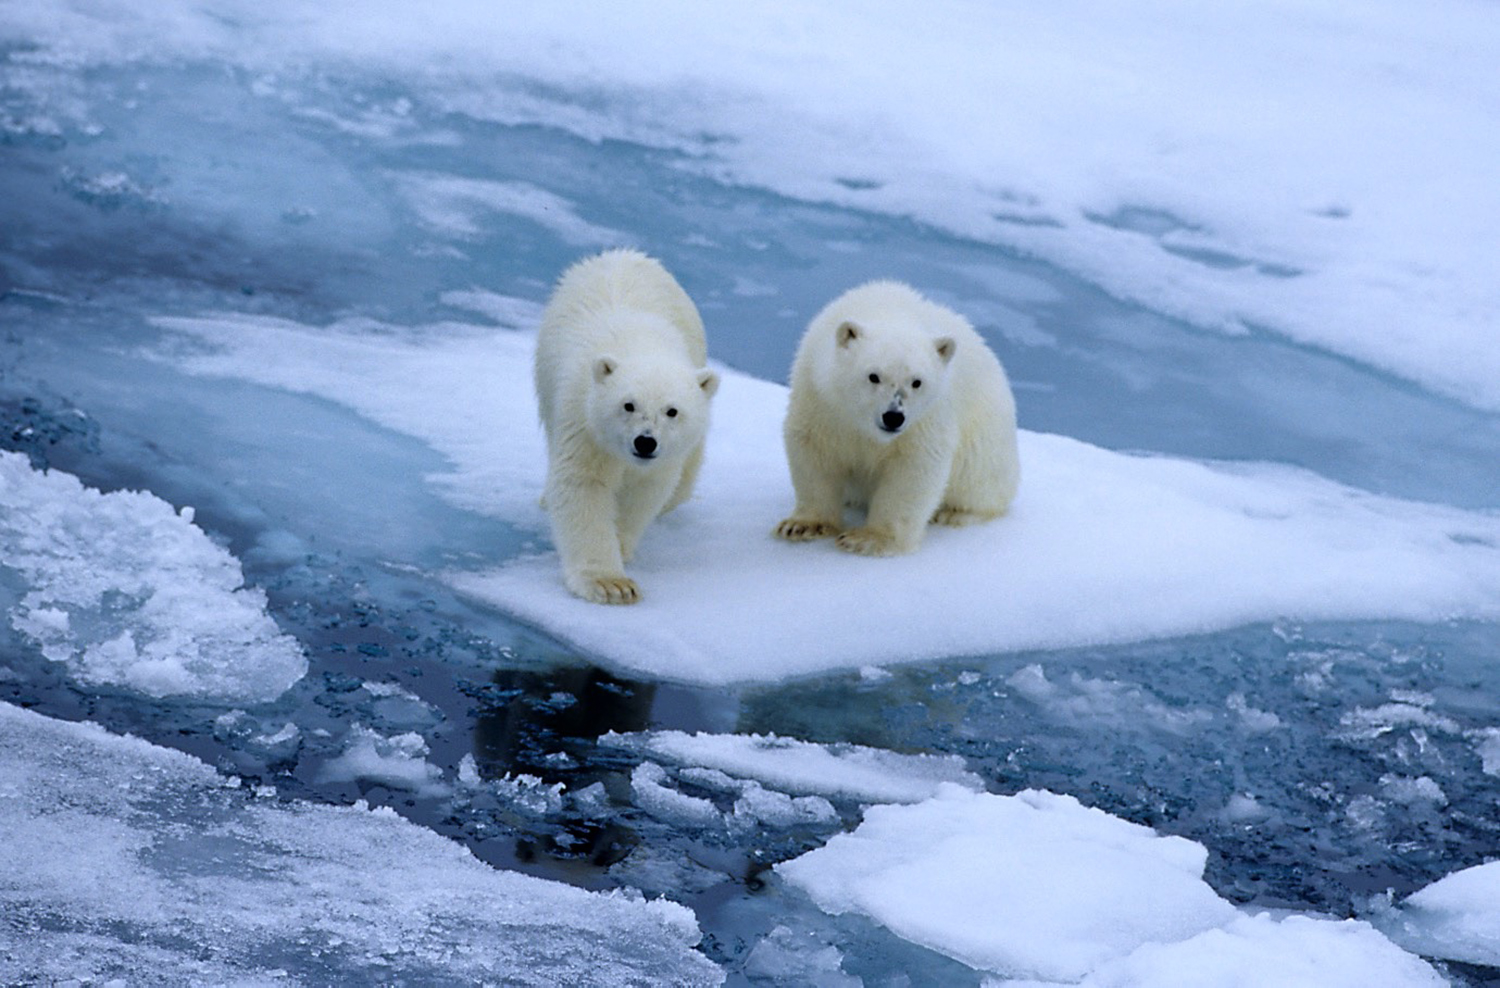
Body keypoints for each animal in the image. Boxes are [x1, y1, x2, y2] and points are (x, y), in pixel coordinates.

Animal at [534, 248, 718, 604]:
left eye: (672, 411)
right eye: (628, 405)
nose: (645, 442)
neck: (641, 345)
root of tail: (622, 254)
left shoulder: (664, 456)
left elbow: (647, 488)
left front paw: (620, 545)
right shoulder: (584, 419)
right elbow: (583, 484)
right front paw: (610, 583)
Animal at [773, 280, 1019, 556]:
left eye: (916, 382)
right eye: (873, 376)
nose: (893, 417)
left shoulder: (928, 418)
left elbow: (913, 468)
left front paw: (867, 539)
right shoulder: (820, 397)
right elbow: (814, 449)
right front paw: (802, 526)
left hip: (985, 442)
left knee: (979, 483)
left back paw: (954, 513)